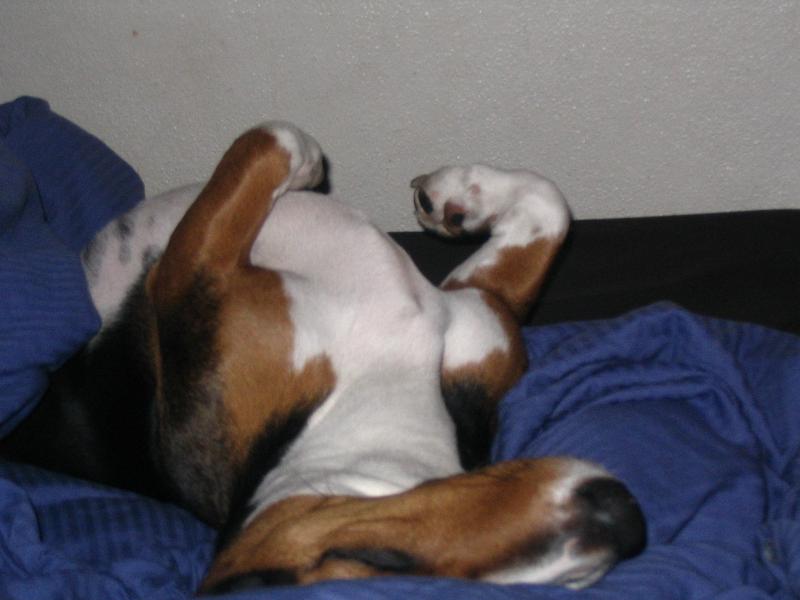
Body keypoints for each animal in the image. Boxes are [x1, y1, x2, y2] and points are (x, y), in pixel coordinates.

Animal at [1, 122, 645, 593]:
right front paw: (322, 170)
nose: (624, 521)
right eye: (381, 563)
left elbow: (548, 204)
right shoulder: (189, 275)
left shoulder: (481, 319)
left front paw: (455, 195)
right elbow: (273, 139)